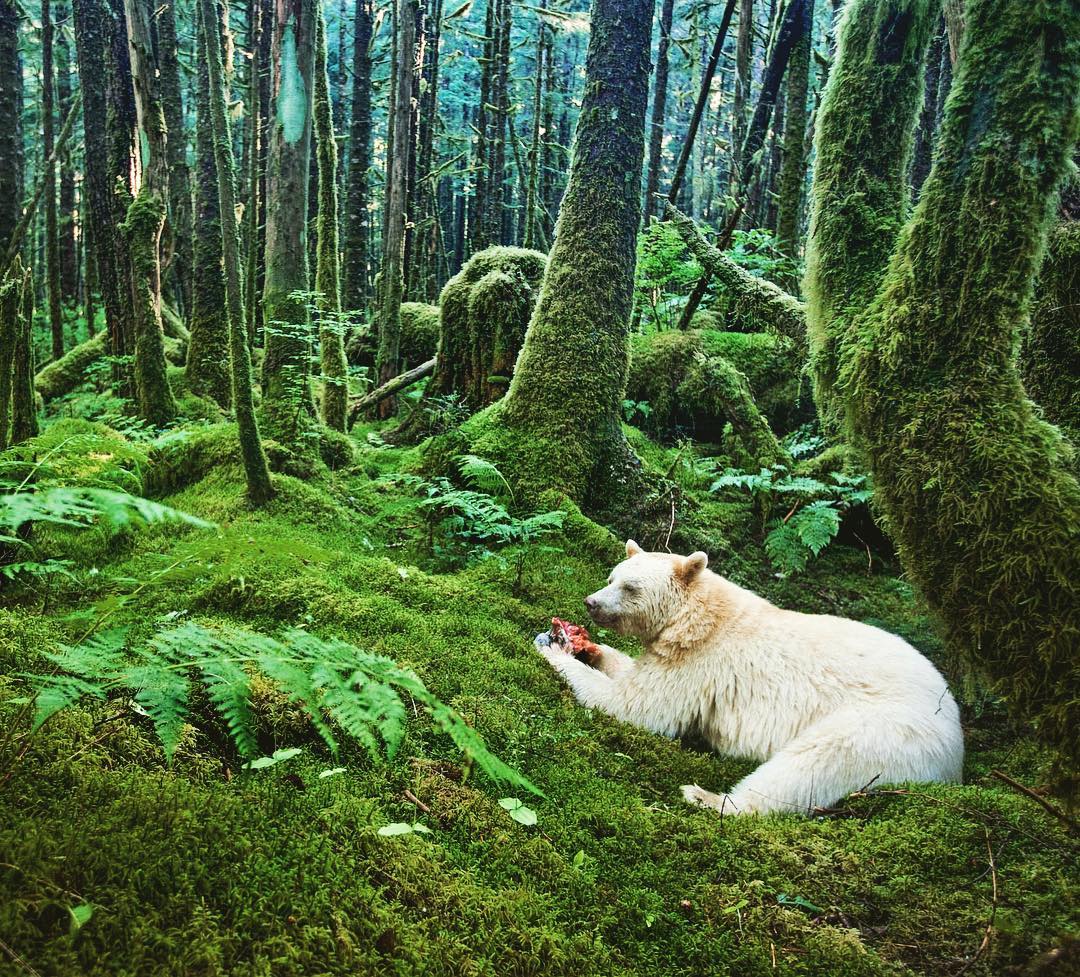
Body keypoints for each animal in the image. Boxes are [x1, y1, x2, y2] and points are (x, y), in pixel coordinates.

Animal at [535, 541, 967, 816]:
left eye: (629, 586)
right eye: (611, 576)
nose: (591, 603)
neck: (697, 615)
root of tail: (957, 744)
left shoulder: (700, 663)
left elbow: (639, 706)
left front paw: (553, 649)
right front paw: (587, 647)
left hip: (886, 729)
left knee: (814, 763)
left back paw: (707, 797)